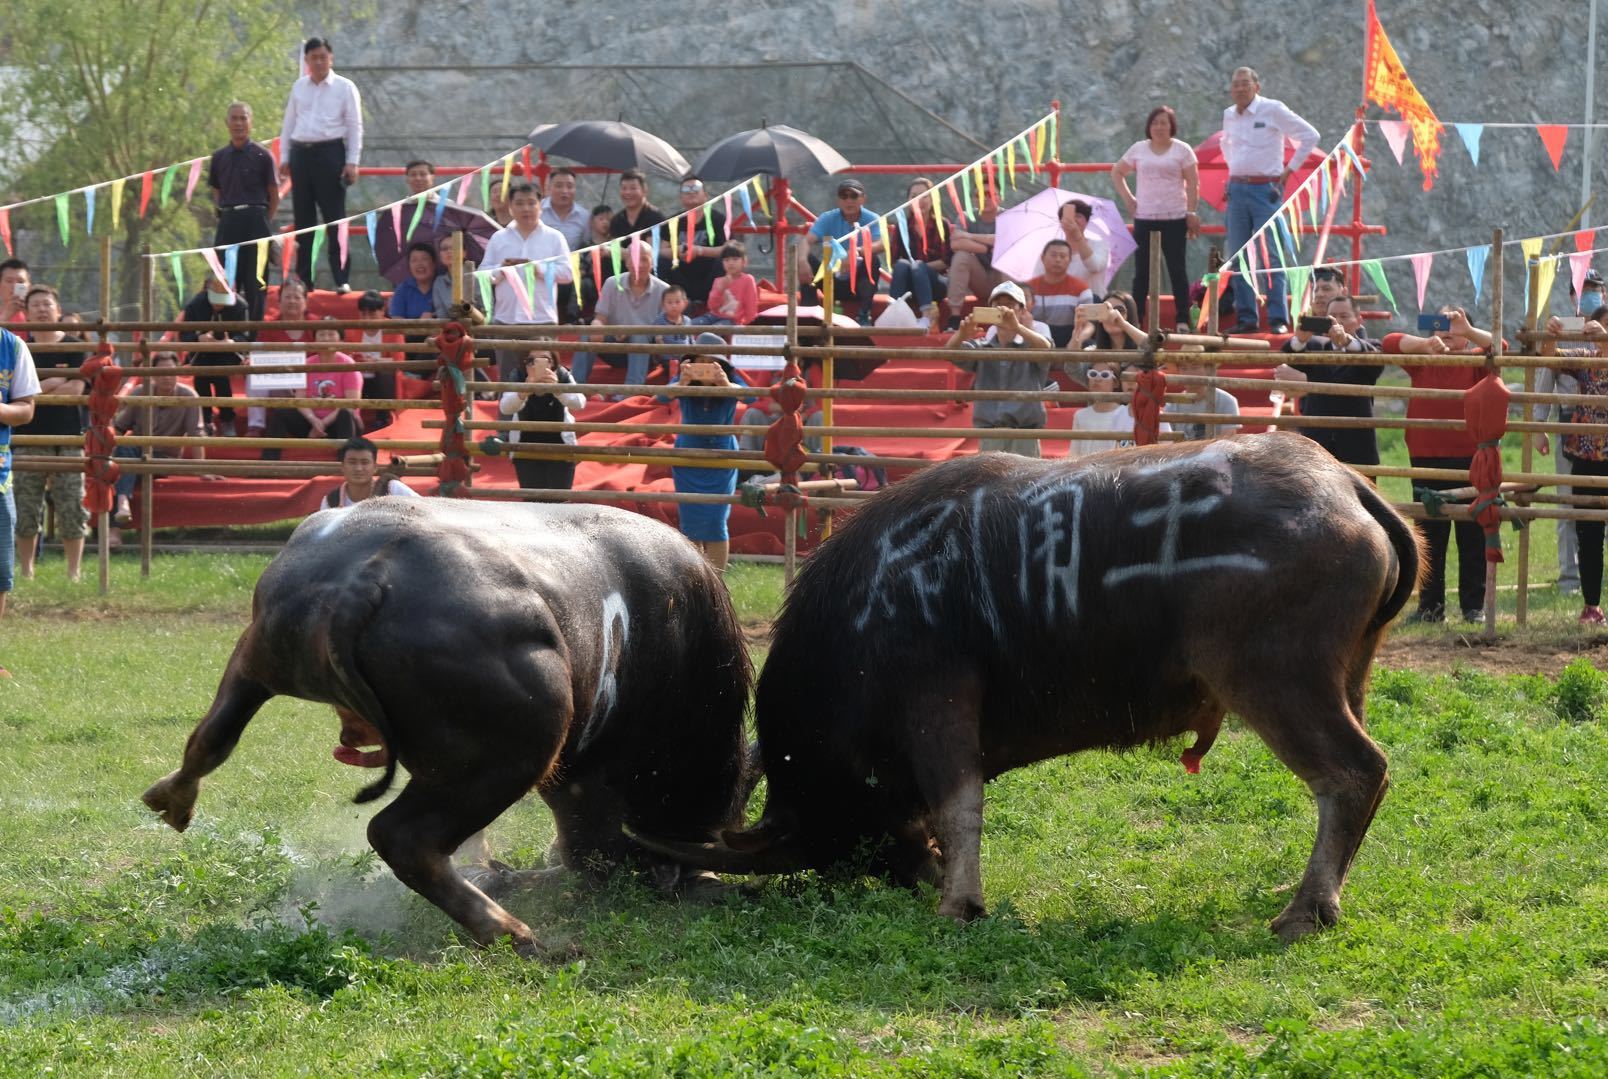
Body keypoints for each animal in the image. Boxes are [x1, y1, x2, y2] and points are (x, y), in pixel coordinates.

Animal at [143, 501, 746, 964]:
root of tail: (363, 581)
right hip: (516, 750)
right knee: (402, 836)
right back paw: (514, 934)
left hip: (254, 658)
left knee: (211, 738)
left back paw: (172, 798)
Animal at [639, 434, 1421, 939]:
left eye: (840, 832)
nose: (912, 872)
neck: (874, 598)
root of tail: (1346, 485)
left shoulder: (938, 700)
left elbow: (960, 803)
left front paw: (960, 903)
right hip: (1348, 678)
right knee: (1364, 782)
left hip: (1277, 681)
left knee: (1354, 772)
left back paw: (1304, 911)